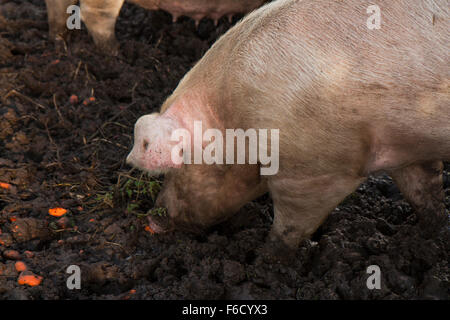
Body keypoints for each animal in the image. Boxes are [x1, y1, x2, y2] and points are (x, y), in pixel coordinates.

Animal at [126, 0, 450, 251]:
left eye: (176, 169)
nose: (151, 219)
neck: (238, 115)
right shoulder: (409, 149)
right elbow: (423, 192)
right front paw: (430, 235)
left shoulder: (315, 168)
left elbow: (292, 225)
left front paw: (266, 259)